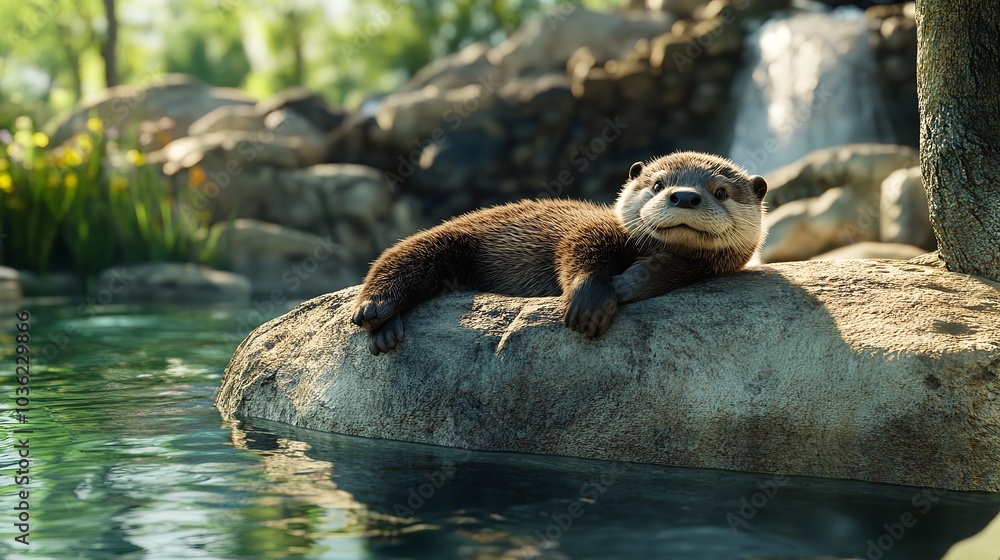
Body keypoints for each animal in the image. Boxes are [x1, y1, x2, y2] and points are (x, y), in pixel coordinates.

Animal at [352, 152, 767, 355]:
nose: (684, 196)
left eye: (720, 192)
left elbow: (678, 270)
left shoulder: (707, 266)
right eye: (657, 184)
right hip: (447, 240)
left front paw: (631, 283)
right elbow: (577, 249)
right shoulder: (595, 227)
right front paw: (590, 302)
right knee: (395, 259)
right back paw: (376, 311)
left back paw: (384, 333)